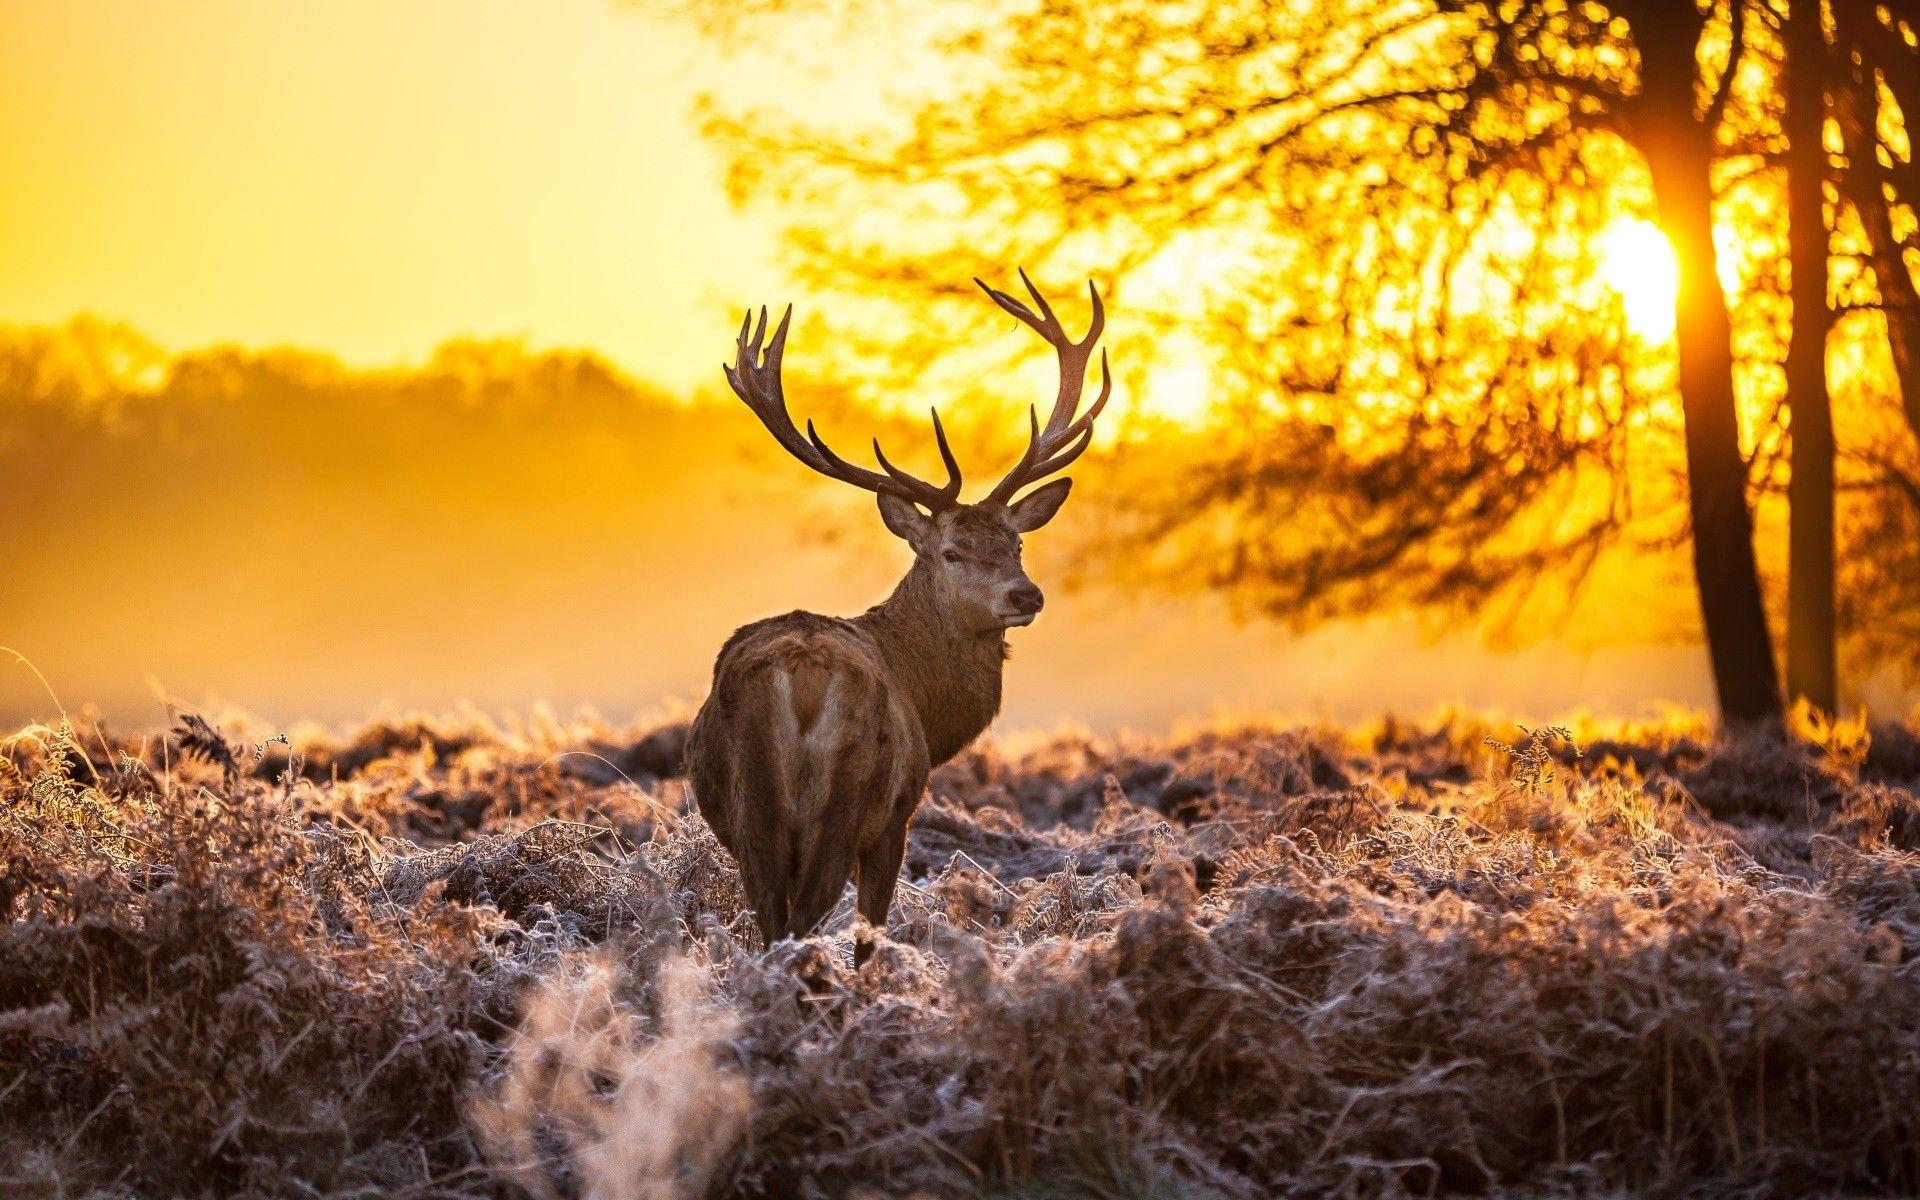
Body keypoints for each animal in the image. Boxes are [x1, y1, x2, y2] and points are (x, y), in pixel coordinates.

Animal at [685, 272, 1112, 961]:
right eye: (951, 550)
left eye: (1016, 544)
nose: (1026, 596)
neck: (930, 712)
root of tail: (801, 683)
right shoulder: (898, 816)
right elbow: (871, 931)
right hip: (850, 800)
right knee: (806, 919)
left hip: (754, 815)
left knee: (772, 921)